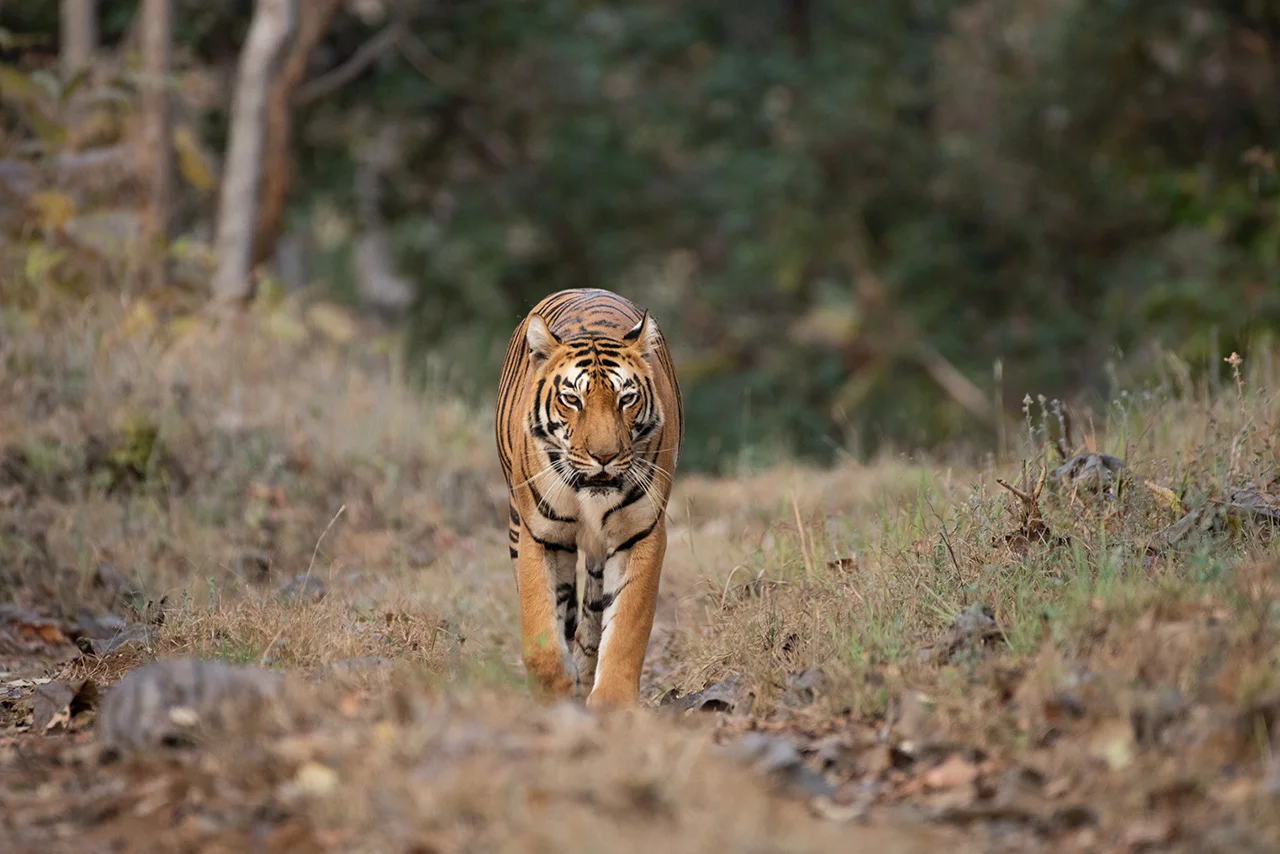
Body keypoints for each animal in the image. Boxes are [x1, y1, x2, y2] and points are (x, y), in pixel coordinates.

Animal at [495, 288, 683, 709]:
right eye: (572, 399)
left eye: (626, 399)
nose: (604, 456)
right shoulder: (538, 535)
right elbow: (540, 627)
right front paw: (556, 693)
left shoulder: (641, 534)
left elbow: (627, 626)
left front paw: (612, 704)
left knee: (595, 611)